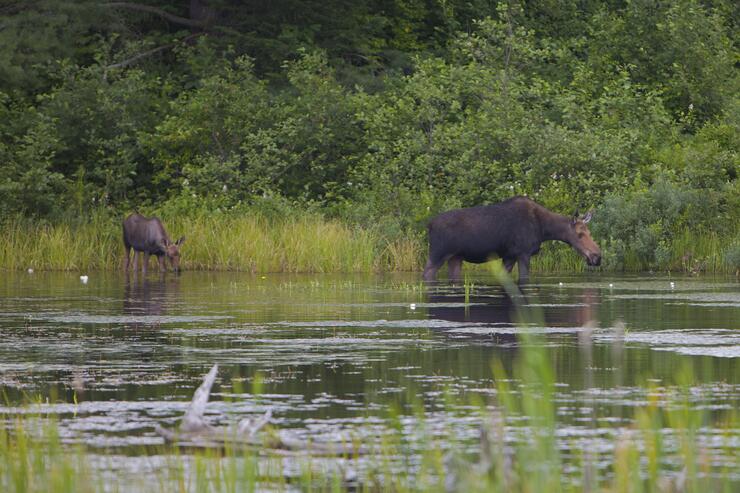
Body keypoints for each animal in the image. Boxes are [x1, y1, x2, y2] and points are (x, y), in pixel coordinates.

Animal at [422, 195, 600, 282]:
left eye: (590, 233)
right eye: (580, 234)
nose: (597, 256)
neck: (544, 230)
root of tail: (429, 225)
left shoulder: (509, 256)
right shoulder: (523, 253)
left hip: (455, 257)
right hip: (437, 254)